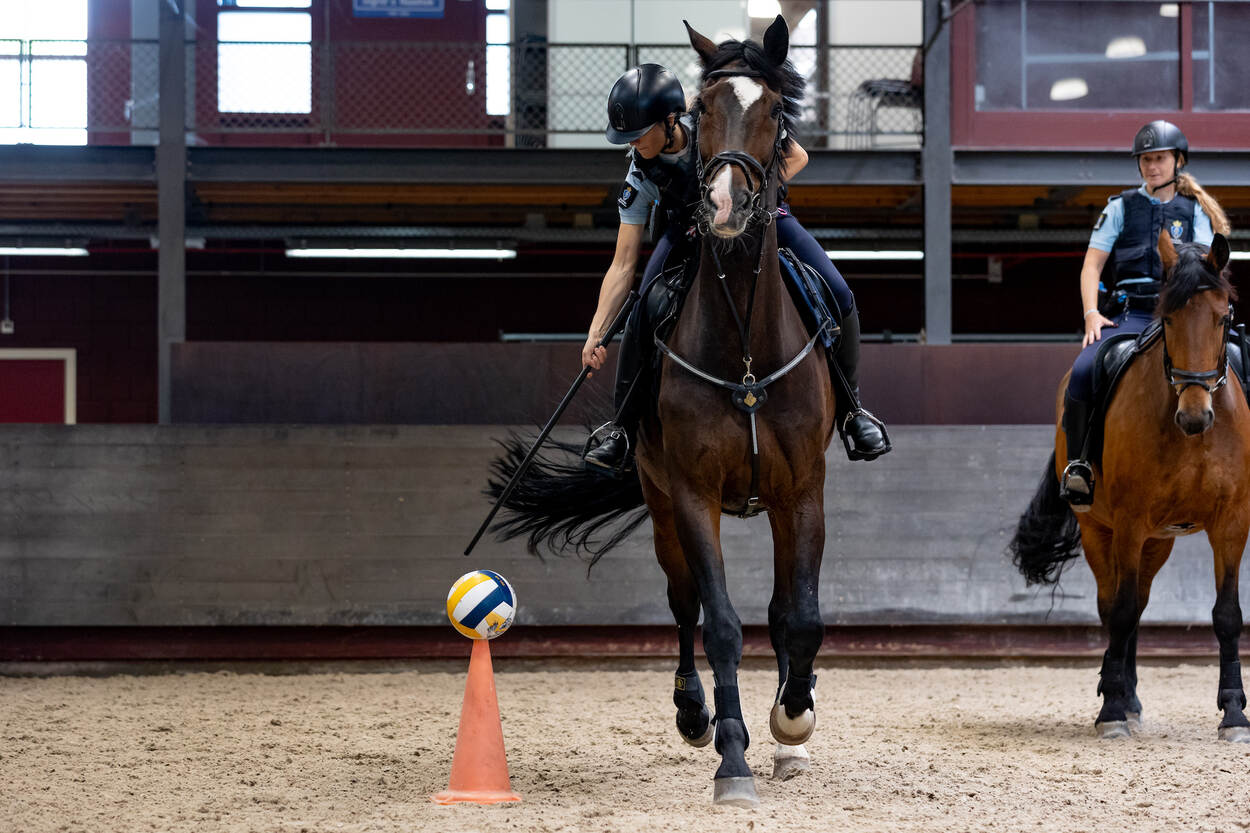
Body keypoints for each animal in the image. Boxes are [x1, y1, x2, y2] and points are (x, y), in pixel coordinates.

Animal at [482, 16, 835, 800]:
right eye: (703, 108)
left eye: (776, 111)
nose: (725, 208)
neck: (744, 351)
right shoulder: (694, 492)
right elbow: (722, 622)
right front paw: (732, 757)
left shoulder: (802, 491)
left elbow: (799, 616)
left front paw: (793, 720)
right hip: (662, 502)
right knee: (684, 605)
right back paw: (695, 715)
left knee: (778, 609)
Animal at [1005, 228, 1250, 740]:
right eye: (1168, 319)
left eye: (1223, 319)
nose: (1194, 416)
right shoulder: (1130, 521)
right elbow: (1118, 610)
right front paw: (1112, 711)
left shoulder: (1232, 523)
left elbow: (1227, 615)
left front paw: (1235, 713)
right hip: (1102, 531)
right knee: (1114, 603)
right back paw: (1118, 696)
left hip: (1158, 540)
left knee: (1137, 604)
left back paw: (1132, 698)